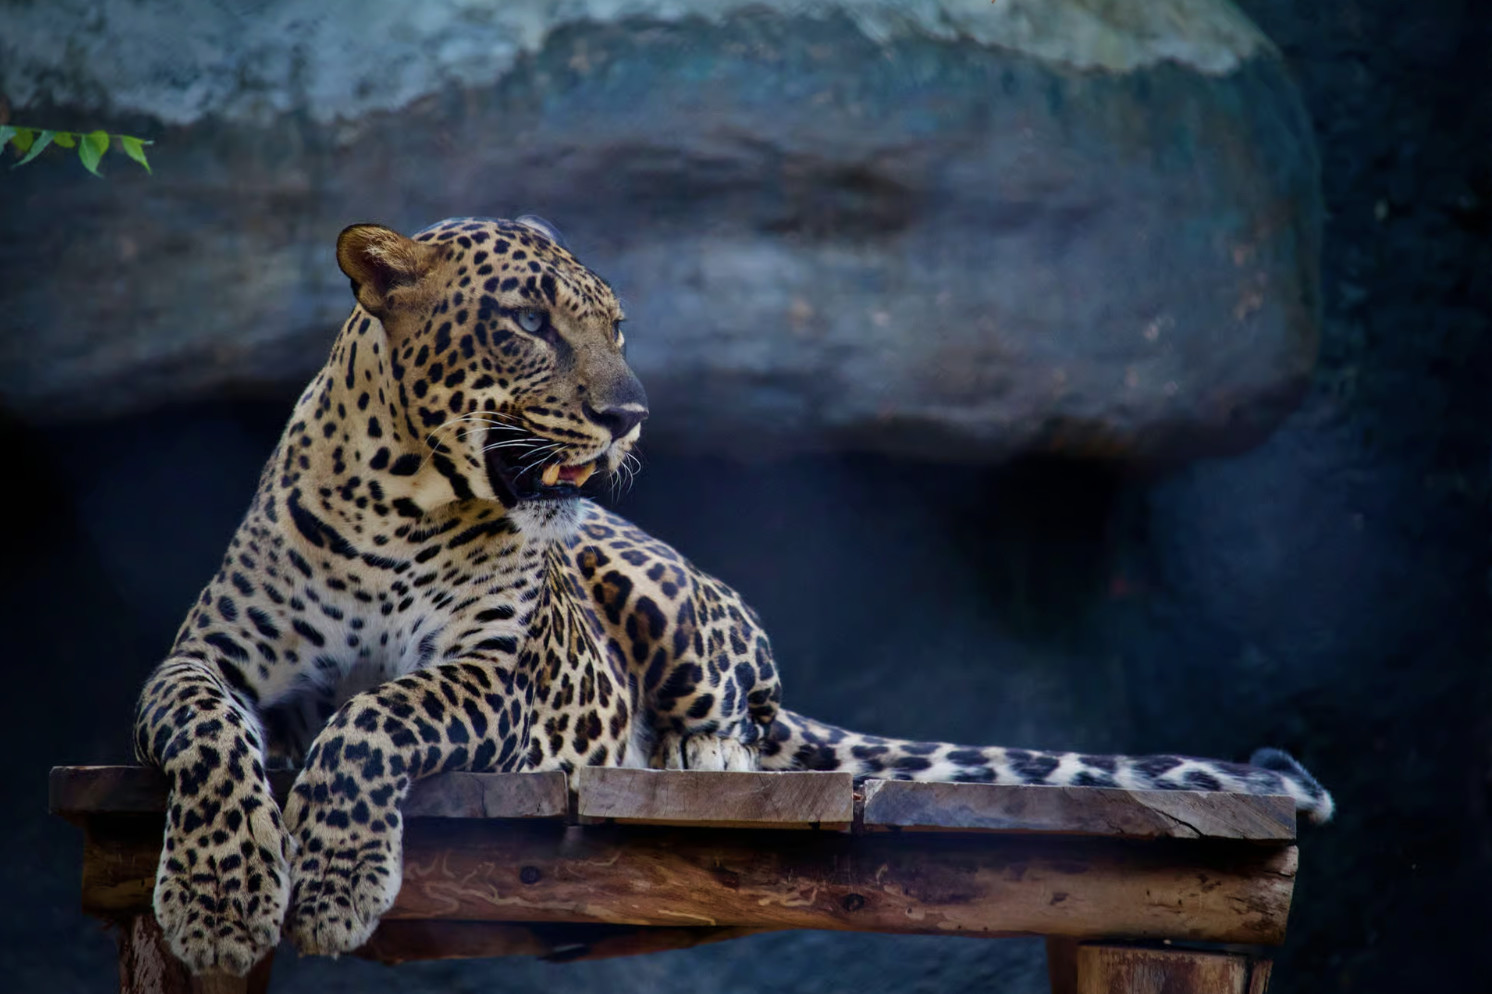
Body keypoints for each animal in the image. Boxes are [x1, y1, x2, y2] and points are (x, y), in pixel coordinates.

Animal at [133, 215, 1334, 976]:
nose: (629, 413)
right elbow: (209, 733)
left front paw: (333, 889)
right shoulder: (204, 657)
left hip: (661, 590)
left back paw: (694, 757)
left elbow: (375, 718)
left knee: (737, 717)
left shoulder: (495, 674)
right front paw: (219, 903)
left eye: (615, 327)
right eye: (527, 321)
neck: (401, 496)